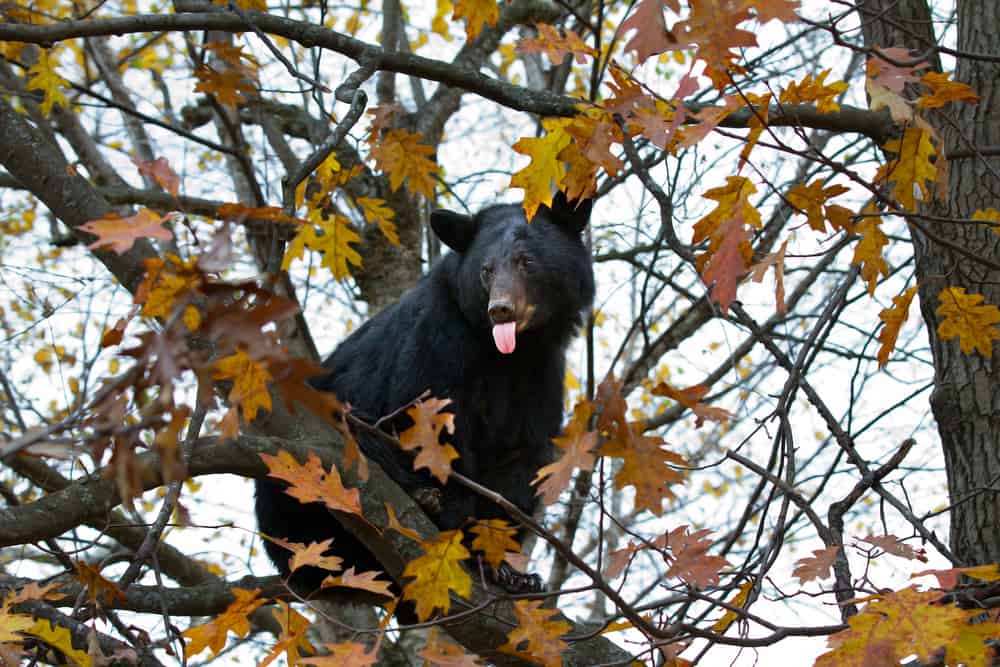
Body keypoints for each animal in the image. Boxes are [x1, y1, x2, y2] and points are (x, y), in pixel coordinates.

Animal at [256, 196, 592, 592]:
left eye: (527, 261)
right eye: (486, 269)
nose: (501, 309)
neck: (507, 353)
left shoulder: (541, 375)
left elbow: (522, 458)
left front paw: (510, 570)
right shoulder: (437, 344)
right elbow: (434, 430)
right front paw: (460, 530)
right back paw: (421, 497)